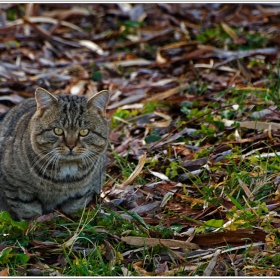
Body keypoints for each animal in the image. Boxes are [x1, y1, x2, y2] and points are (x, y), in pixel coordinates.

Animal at [0, 87, 110, 221]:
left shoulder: (84, 192)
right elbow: (29, 214)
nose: (71, 145)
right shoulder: (16, 190)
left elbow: (73, 208)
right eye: (57, 130)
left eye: (84, 132)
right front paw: (35, 225)